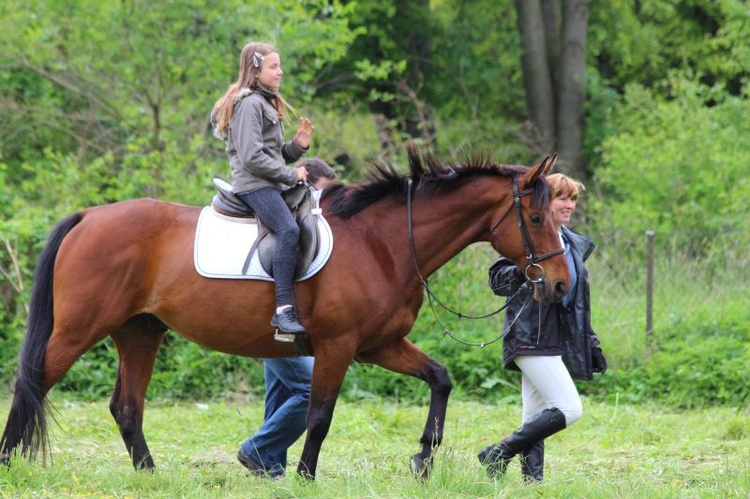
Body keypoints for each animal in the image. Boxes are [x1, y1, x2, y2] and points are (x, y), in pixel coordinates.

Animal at [0, 146, 568, 478]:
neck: (382, 242)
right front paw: (305, 476)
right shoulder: (338, 347)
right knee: (32, 383)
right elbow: (319, 416)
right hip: (79, 330)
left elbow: (440, 378)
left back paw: (149, 475)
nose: (561, 284)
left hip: (139, 333)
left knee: (126, 407)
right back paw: (9, 463)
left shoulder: (379, 345)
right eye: (538, 217)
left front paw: (423, 458)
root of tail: (89, 216)